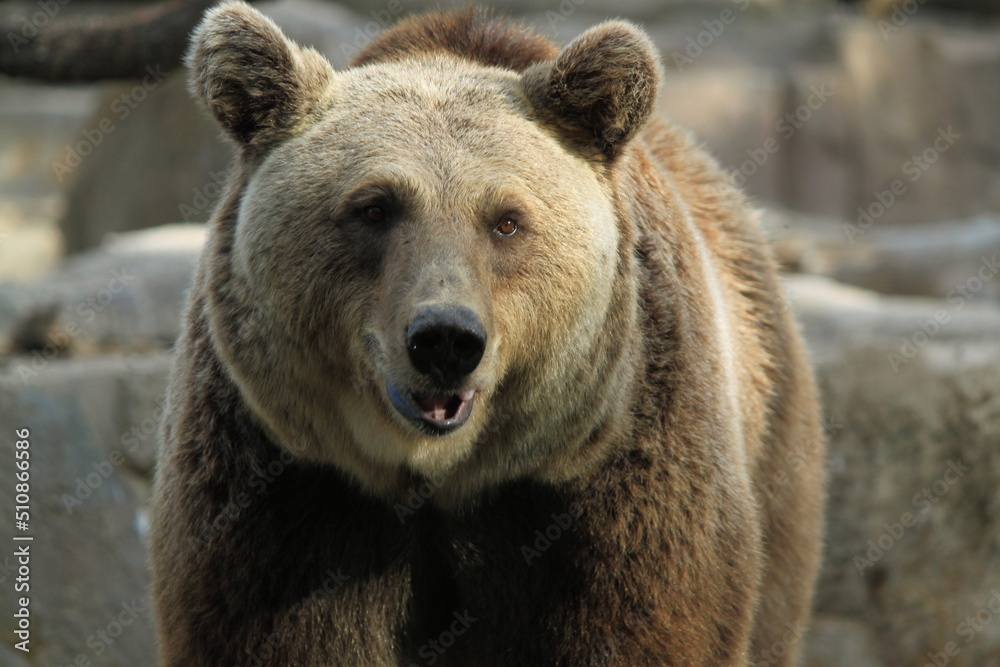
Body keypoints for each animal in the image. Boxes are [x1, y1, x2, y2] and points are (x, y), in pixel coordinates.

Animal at [149, 3, 826, 665]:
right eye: (374, 208)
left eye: (506, 221)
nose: (445, 340)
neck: (442, 480)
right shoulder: (286, 493)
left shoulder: (618, 479)